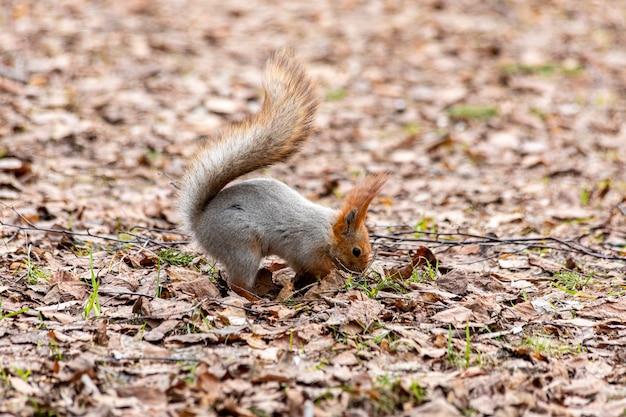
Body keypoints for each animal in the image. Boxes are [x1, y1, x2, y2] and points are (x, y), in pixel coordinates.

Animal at [179, 49, 386, 296]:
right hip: (241, 248)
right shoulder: (307, 248)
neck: (326, 231)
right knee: (237, 284)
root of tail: (199, 223)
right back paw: (254, 297)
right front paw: (333, 277)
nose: (362, 270)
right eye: (356, 250)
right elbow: (316, 266)